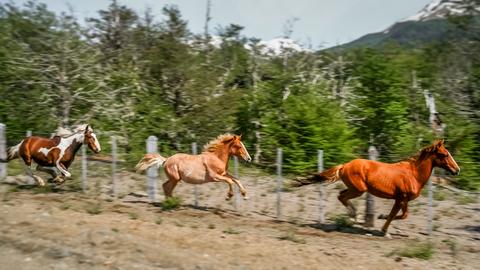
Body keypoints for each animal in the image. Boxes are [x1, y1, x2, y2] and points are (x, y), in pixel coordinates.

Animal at [294, 140, 460, 237]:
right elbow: (393, 215)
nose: (457, 170)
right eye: (445, 154)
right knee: (341, 196)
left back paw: (354, 217)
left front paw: (382, 219)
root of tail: (344, 166)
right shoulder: (400, 198)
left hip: (356, 189)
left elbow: (404, 215)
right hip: (359, 189)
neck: (413, 174)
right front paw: (384, 229)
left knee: (341, 195)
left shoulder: (404, 200)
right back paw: (355, 217)